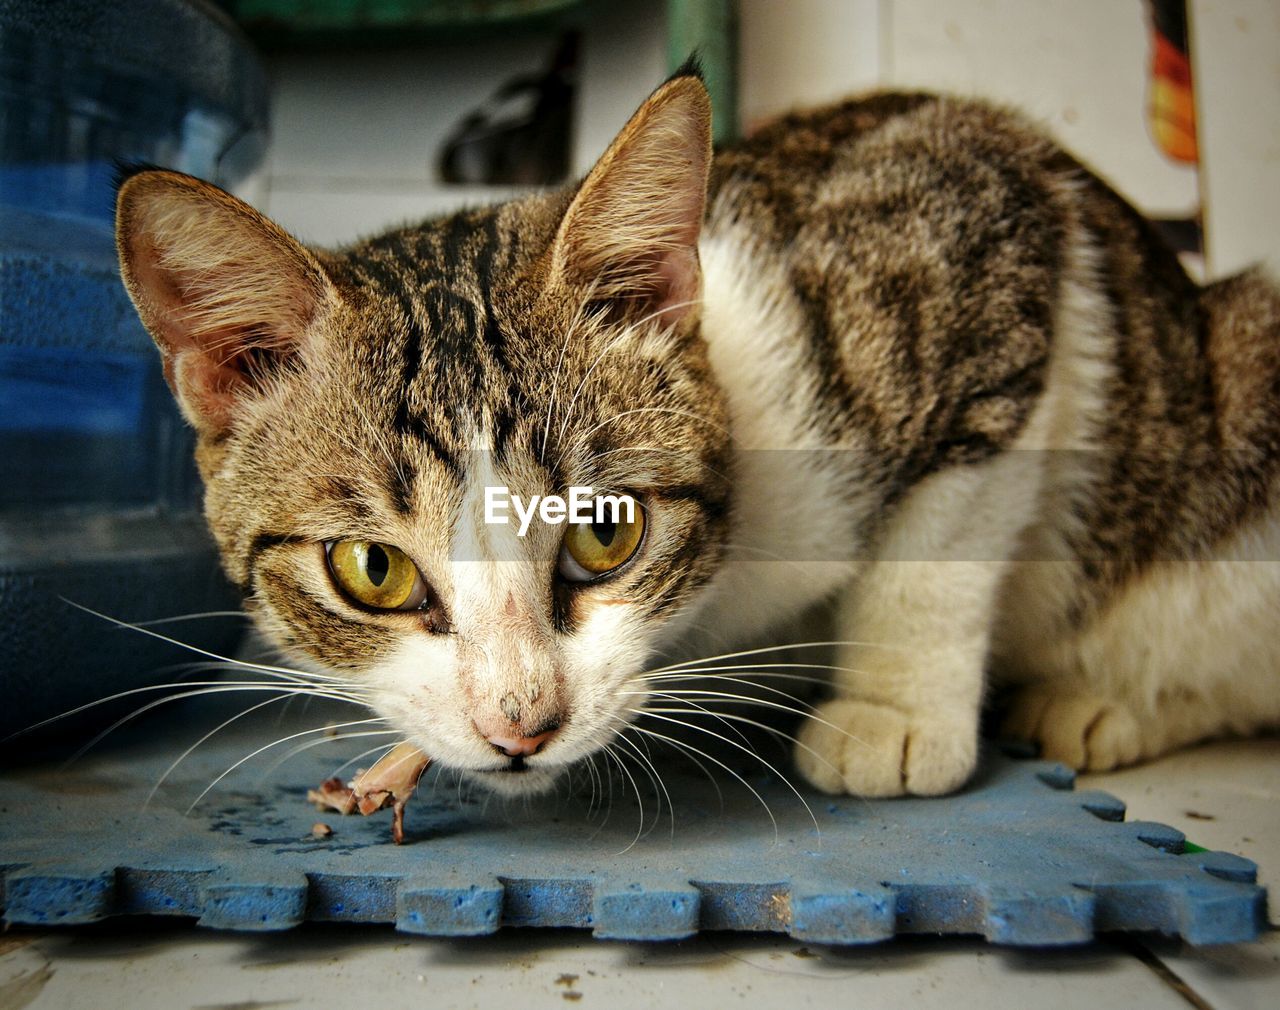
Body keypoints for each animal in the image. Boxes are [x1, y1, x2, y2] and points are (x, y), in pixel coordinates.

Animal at [115, 66, 1274, 798]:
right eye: (372, 569)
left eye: (606, 530)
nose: (519, 724)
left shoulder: (987, 214)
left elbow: (941, 533)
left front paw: (893, 712)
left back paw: (1105, 705)